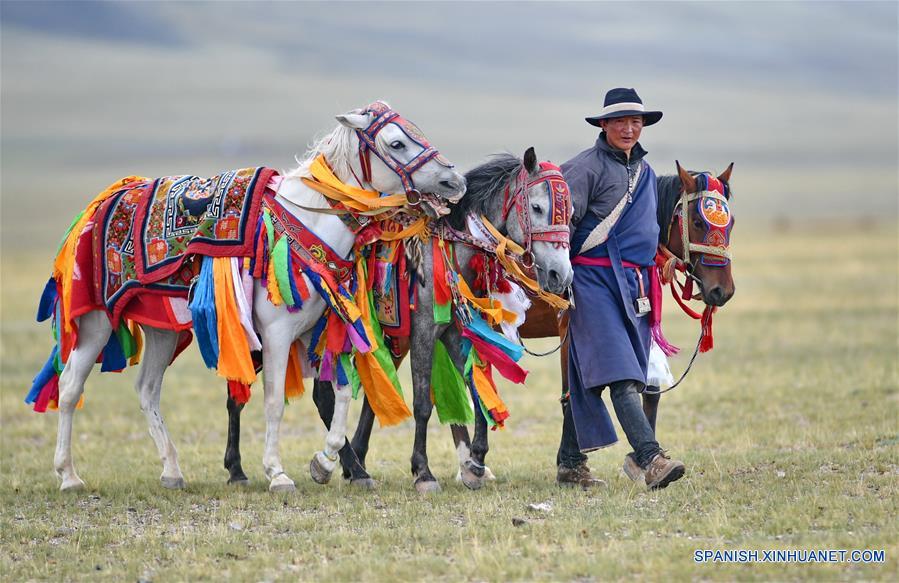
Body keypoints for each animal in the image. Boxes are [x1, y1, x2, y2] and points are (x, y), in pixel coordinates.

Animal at [50, 101, 468, 492]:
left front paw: (324, 464)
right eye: (396, 143)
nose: (454, 181)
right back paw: (69, 476)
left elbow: (342, 395)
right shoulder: (277, 335)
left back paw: (171, 471)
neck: (306, 224)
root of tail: (105, 200)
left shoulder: (318, 333)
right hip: (97, 322)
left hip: (162, 328)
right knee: (70, 387)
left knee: (148, 390)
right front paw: (277, 473)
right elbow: (274, 403)